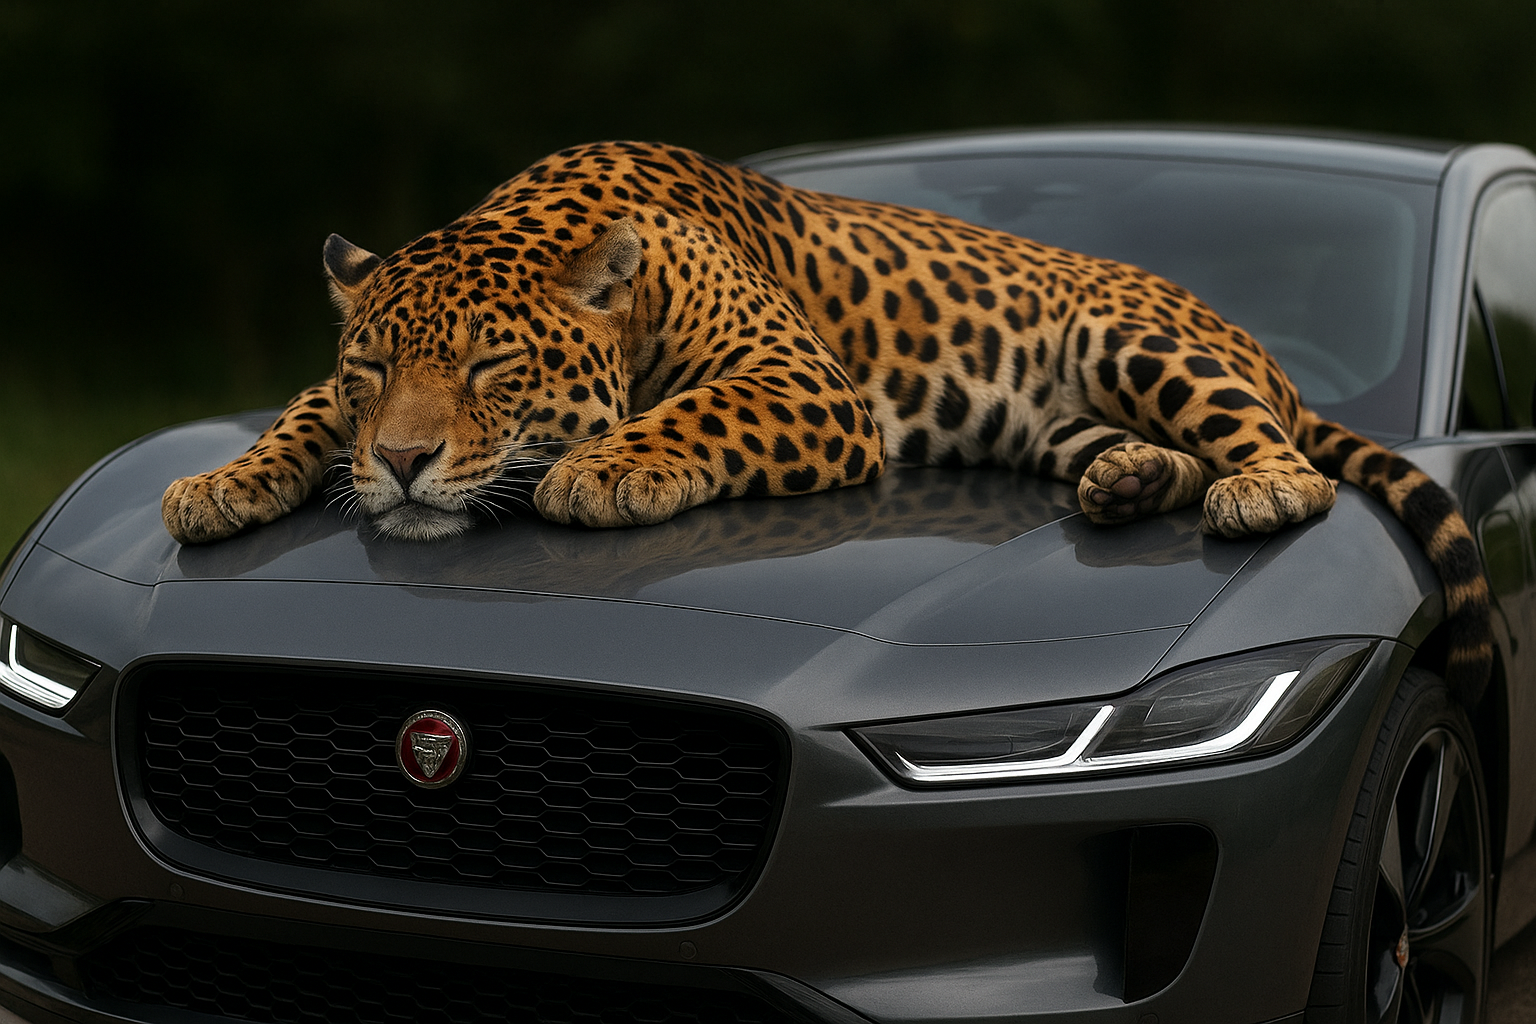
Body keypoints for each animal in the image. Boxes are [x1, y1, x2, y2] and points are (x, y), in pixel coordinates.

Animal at [161, 140, 1492, 697]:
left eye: (492, 364)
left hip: (1137, 340)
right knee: (1124, 452)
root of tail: (1265, 352)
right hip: (1061, 419)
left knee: (1284, 460)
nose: (400, 462)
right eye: (370, 370)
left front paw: (600, 467)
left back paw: (1253, 483)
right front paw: (221, 482)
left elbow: (691, 416)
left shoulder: (801, 382)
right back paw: (1127, 484)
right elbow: (293, 417)